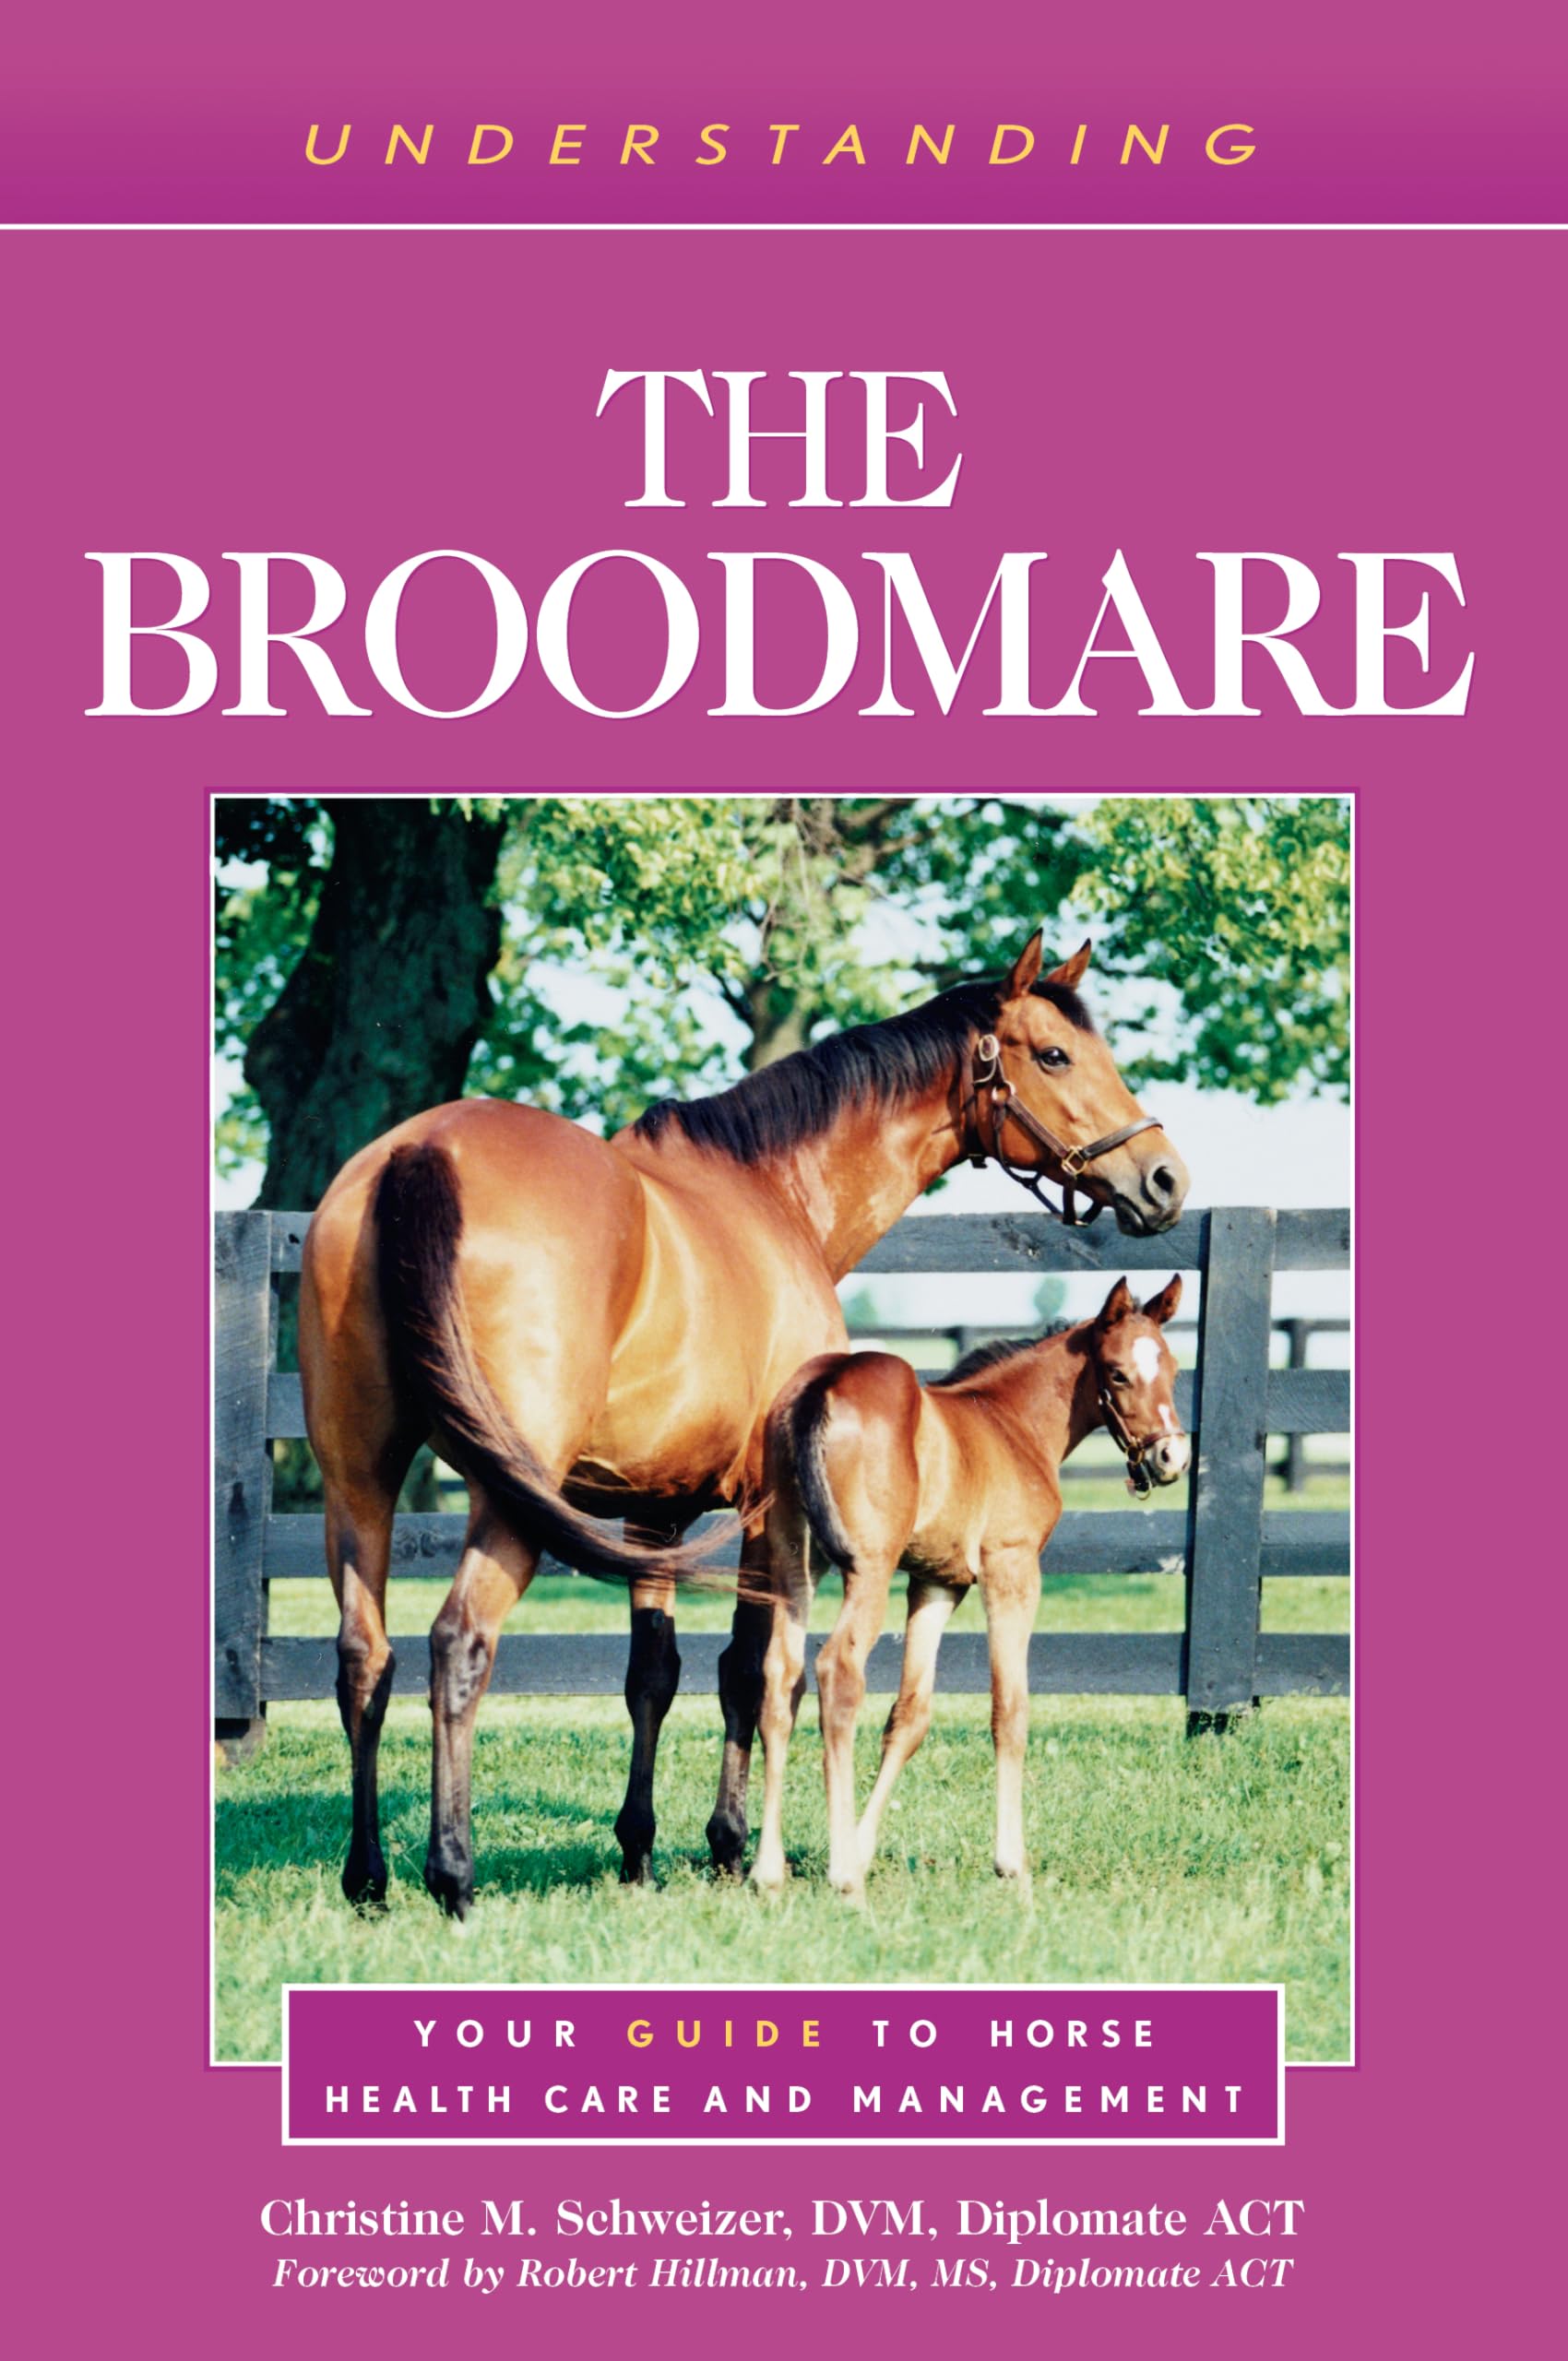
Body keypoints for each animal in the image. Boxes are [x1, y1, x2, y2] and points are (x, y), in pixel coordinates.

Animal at [751, 1275, 1188, 1901]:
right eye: (1118, 1373)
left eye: (1172, 1367)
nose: (1170, 1456)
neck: (1010, 1422)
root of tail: (823, 1384)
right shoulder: (1012, 1567)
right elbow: (1010, 1709)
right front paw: (1011, 1861)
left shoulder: (936, 1583)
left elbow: (910, 1716)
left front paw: (862, 1847)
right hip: (868, 1569)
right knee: (837, 1672)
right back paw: (841, 1877)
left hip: (795, 1563)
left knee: (779, 1677)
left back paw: (768, 1869)